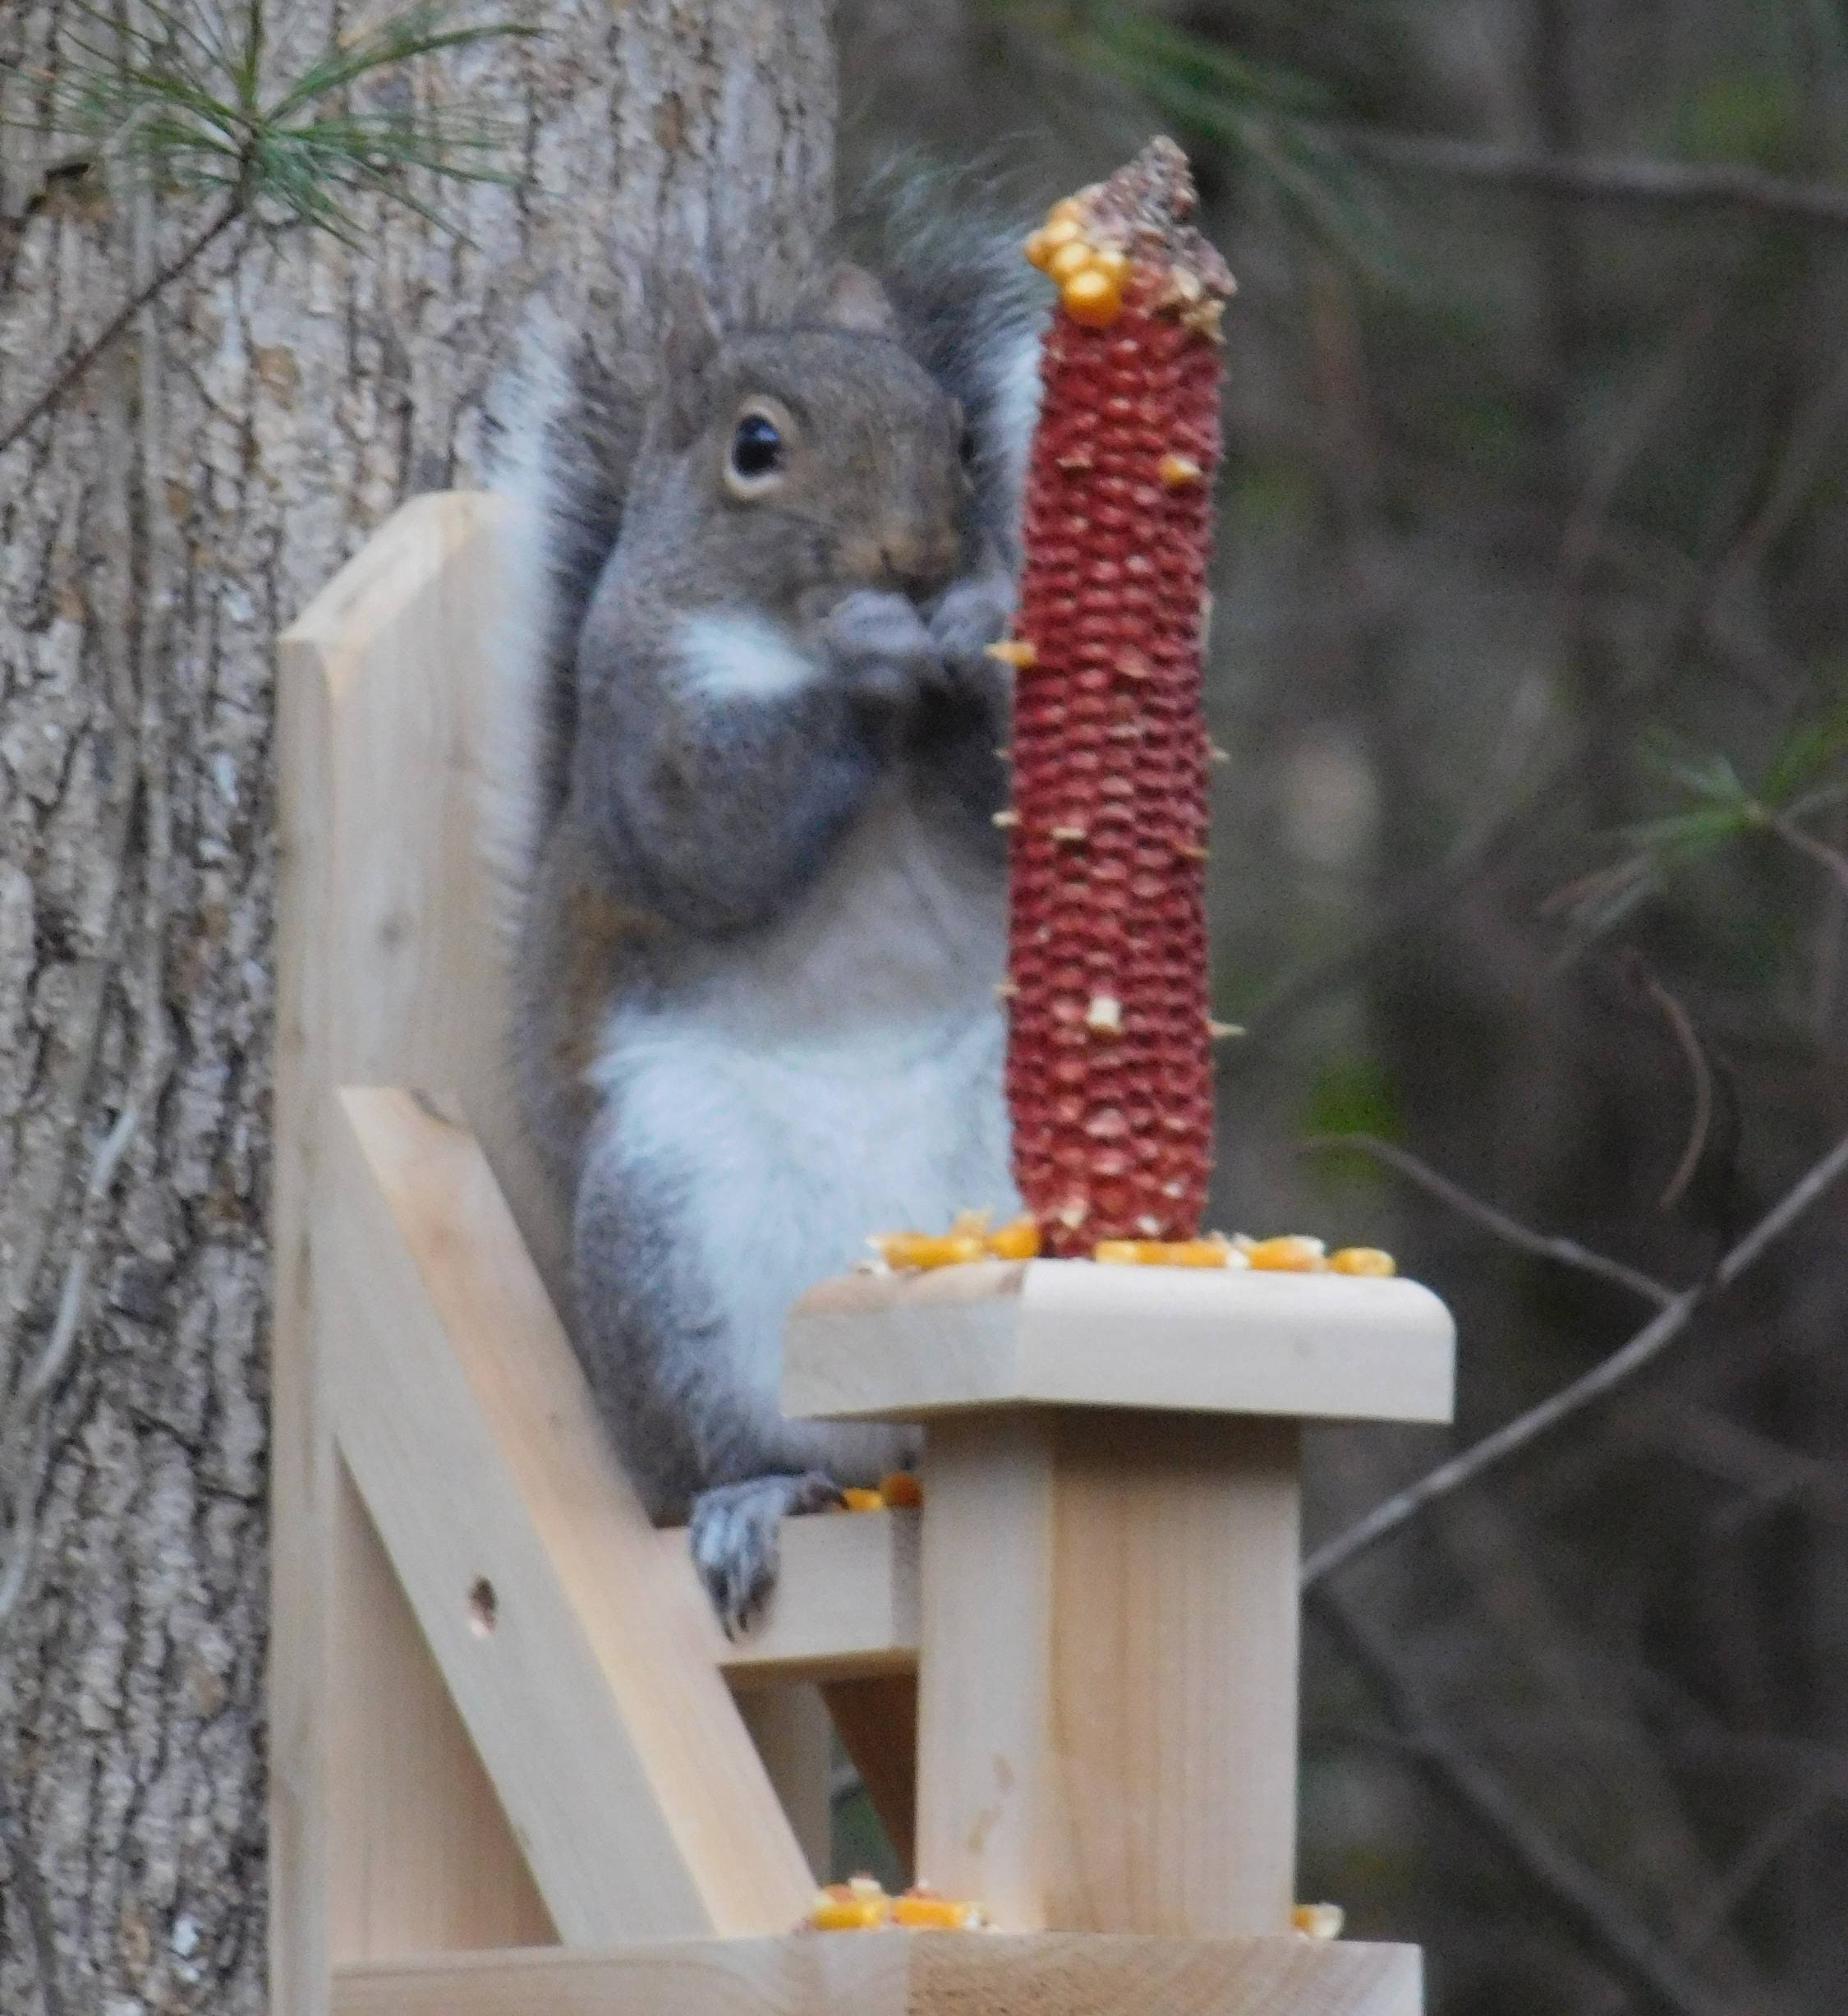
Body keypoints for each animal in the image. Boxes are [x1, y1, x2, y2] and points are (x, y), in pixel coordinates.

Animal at [487, 188, 1046, 1632]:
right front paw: (868, 644)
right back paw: (754, 1497)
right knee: (742, 1453)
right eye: (756, 448)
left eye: (962, 439)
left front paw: (968, 622)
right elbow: (713, 833)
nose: (914, 558)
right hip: (671, 1229)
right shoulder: (644, 728)